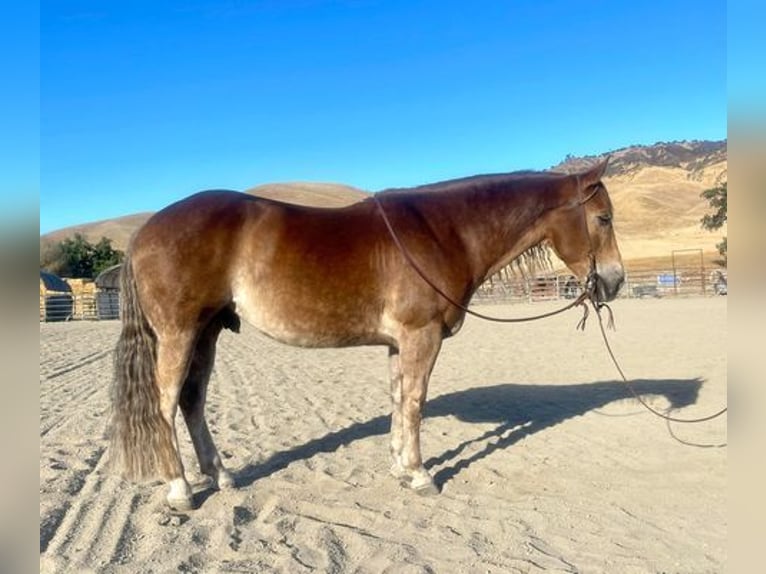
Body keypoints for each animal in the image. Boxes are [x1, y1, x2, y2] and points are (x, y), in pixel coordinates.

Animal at [109, 160, 624, 510]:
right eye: (603, 218)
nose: (615, 282)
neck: (445, 233)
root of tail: (146, 231)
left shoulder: (399, 344)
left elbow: (398, 399)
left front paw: (399, 466)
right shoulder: (421, 337)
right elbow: (415, 402)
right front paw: (420, 474)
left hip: (207, 333)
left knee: (192, 401)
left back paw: (221, 476)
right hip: (179, 334)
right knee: (165, 404)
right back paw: (180, 488)